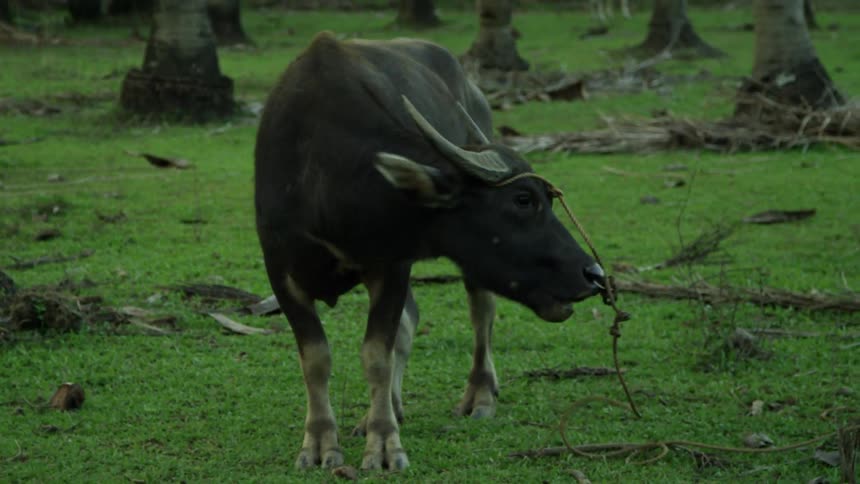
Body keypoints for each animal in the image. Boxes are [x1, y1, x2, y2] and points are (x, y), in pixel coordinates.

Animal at [254, 31, 606, 471]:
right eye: (523, 200)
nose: (594, 274)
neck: (320, 175)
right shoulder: (280, 271)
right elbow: (316, 358)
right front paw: (320, 442)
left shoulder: (391, 265)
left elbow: (377, 355)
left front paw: (384, 444)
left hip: (470, 272)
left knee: (481, 314)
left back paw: (479, 394)